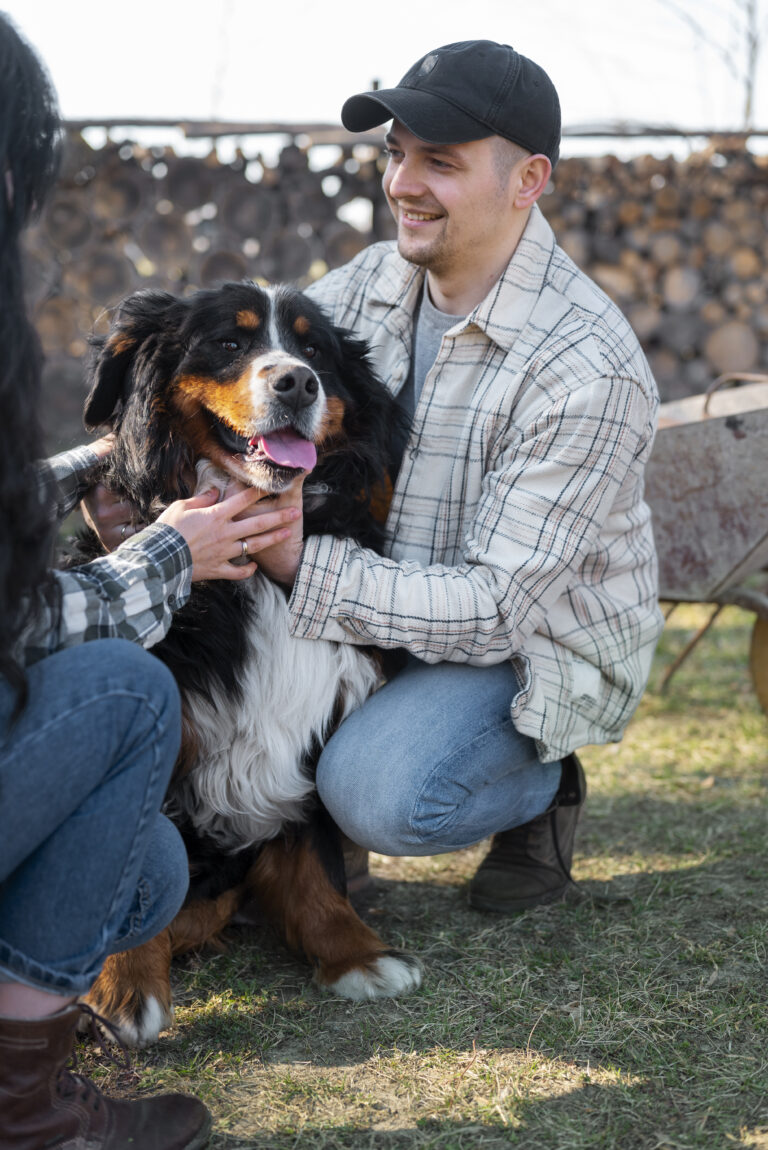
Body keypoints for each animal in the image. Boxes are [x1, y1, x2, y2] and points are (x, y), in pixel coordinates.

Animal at [79, 282, 420, 1048]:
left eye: (313, 348)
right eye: (229, 342)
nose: (297, 382)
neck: (256, 570)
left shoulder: (313, 717)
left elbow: (313, 859)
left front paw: (355, 952)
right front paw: (125, 988)